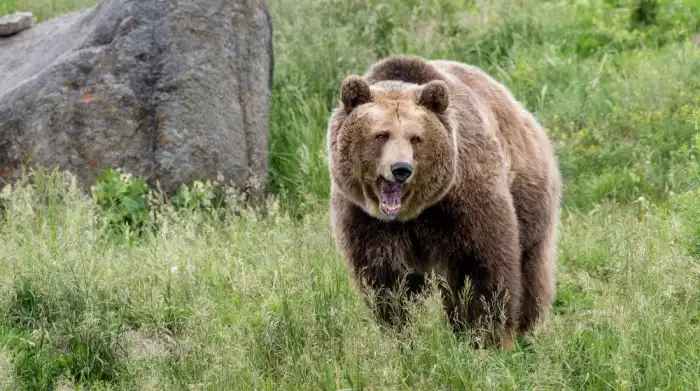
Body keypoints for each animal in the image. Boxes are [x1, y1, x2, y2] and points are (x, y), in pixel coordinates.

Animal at [326, 54, 560, 350]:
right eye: (381, 135)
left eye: (416, 138)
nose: (401, 169)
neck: (412, 213)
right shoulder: (365, 218)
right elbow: (388, 280)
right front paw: (402, 334)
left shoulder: (463, 199)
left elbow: (480, 266)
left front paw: (487, 336)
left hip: (529, 193)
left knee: (530, 265)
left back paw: (525, 327)